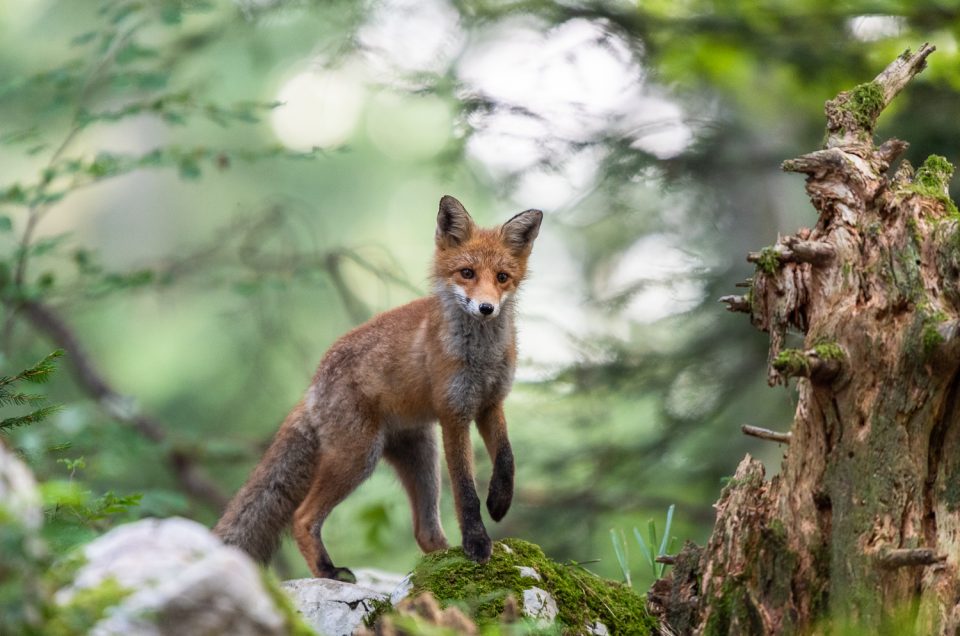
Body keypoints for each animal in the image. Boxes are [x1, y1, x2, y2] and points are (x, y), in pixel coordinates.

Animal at [214, 195, 540, 580]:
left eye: (502, 278)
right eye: (467, 273)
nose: (486, 308)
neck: (481, 357)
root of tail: (313, 385)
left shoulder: (490, 402)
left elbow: (506, 459)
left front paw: (500, 502)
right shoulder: (454, 413)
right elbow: (466, 492)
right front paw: (476, 543)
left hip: (423, 460)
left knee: (425, 532)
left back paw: (438, 562)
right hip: (359, 456)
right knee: (302, 517)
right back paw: (328, 571)